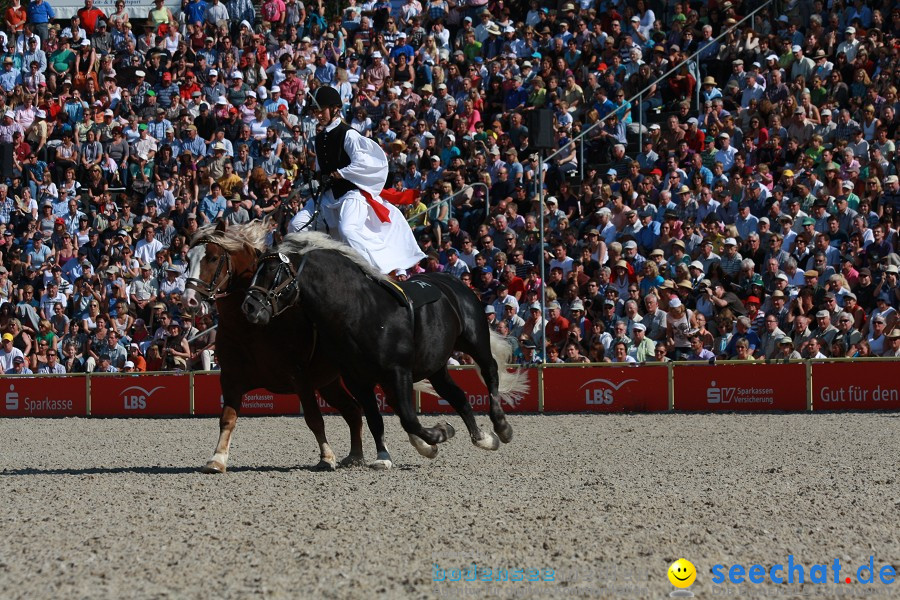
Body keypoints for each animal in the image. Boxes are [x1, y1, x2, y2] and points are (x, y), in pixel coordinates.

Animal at [181, 220, 392, 474]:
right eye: (187, 259)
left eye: (212, 258)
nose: (189, 299)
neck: (251, 327)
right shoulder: (231, 379)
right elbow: (227, 418)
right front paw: (217, 459)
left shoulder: (299, 378)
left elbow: (313, 418)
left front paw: (326, 457)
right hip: (328, 383)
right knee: (352, 410)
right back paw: (355, 455)